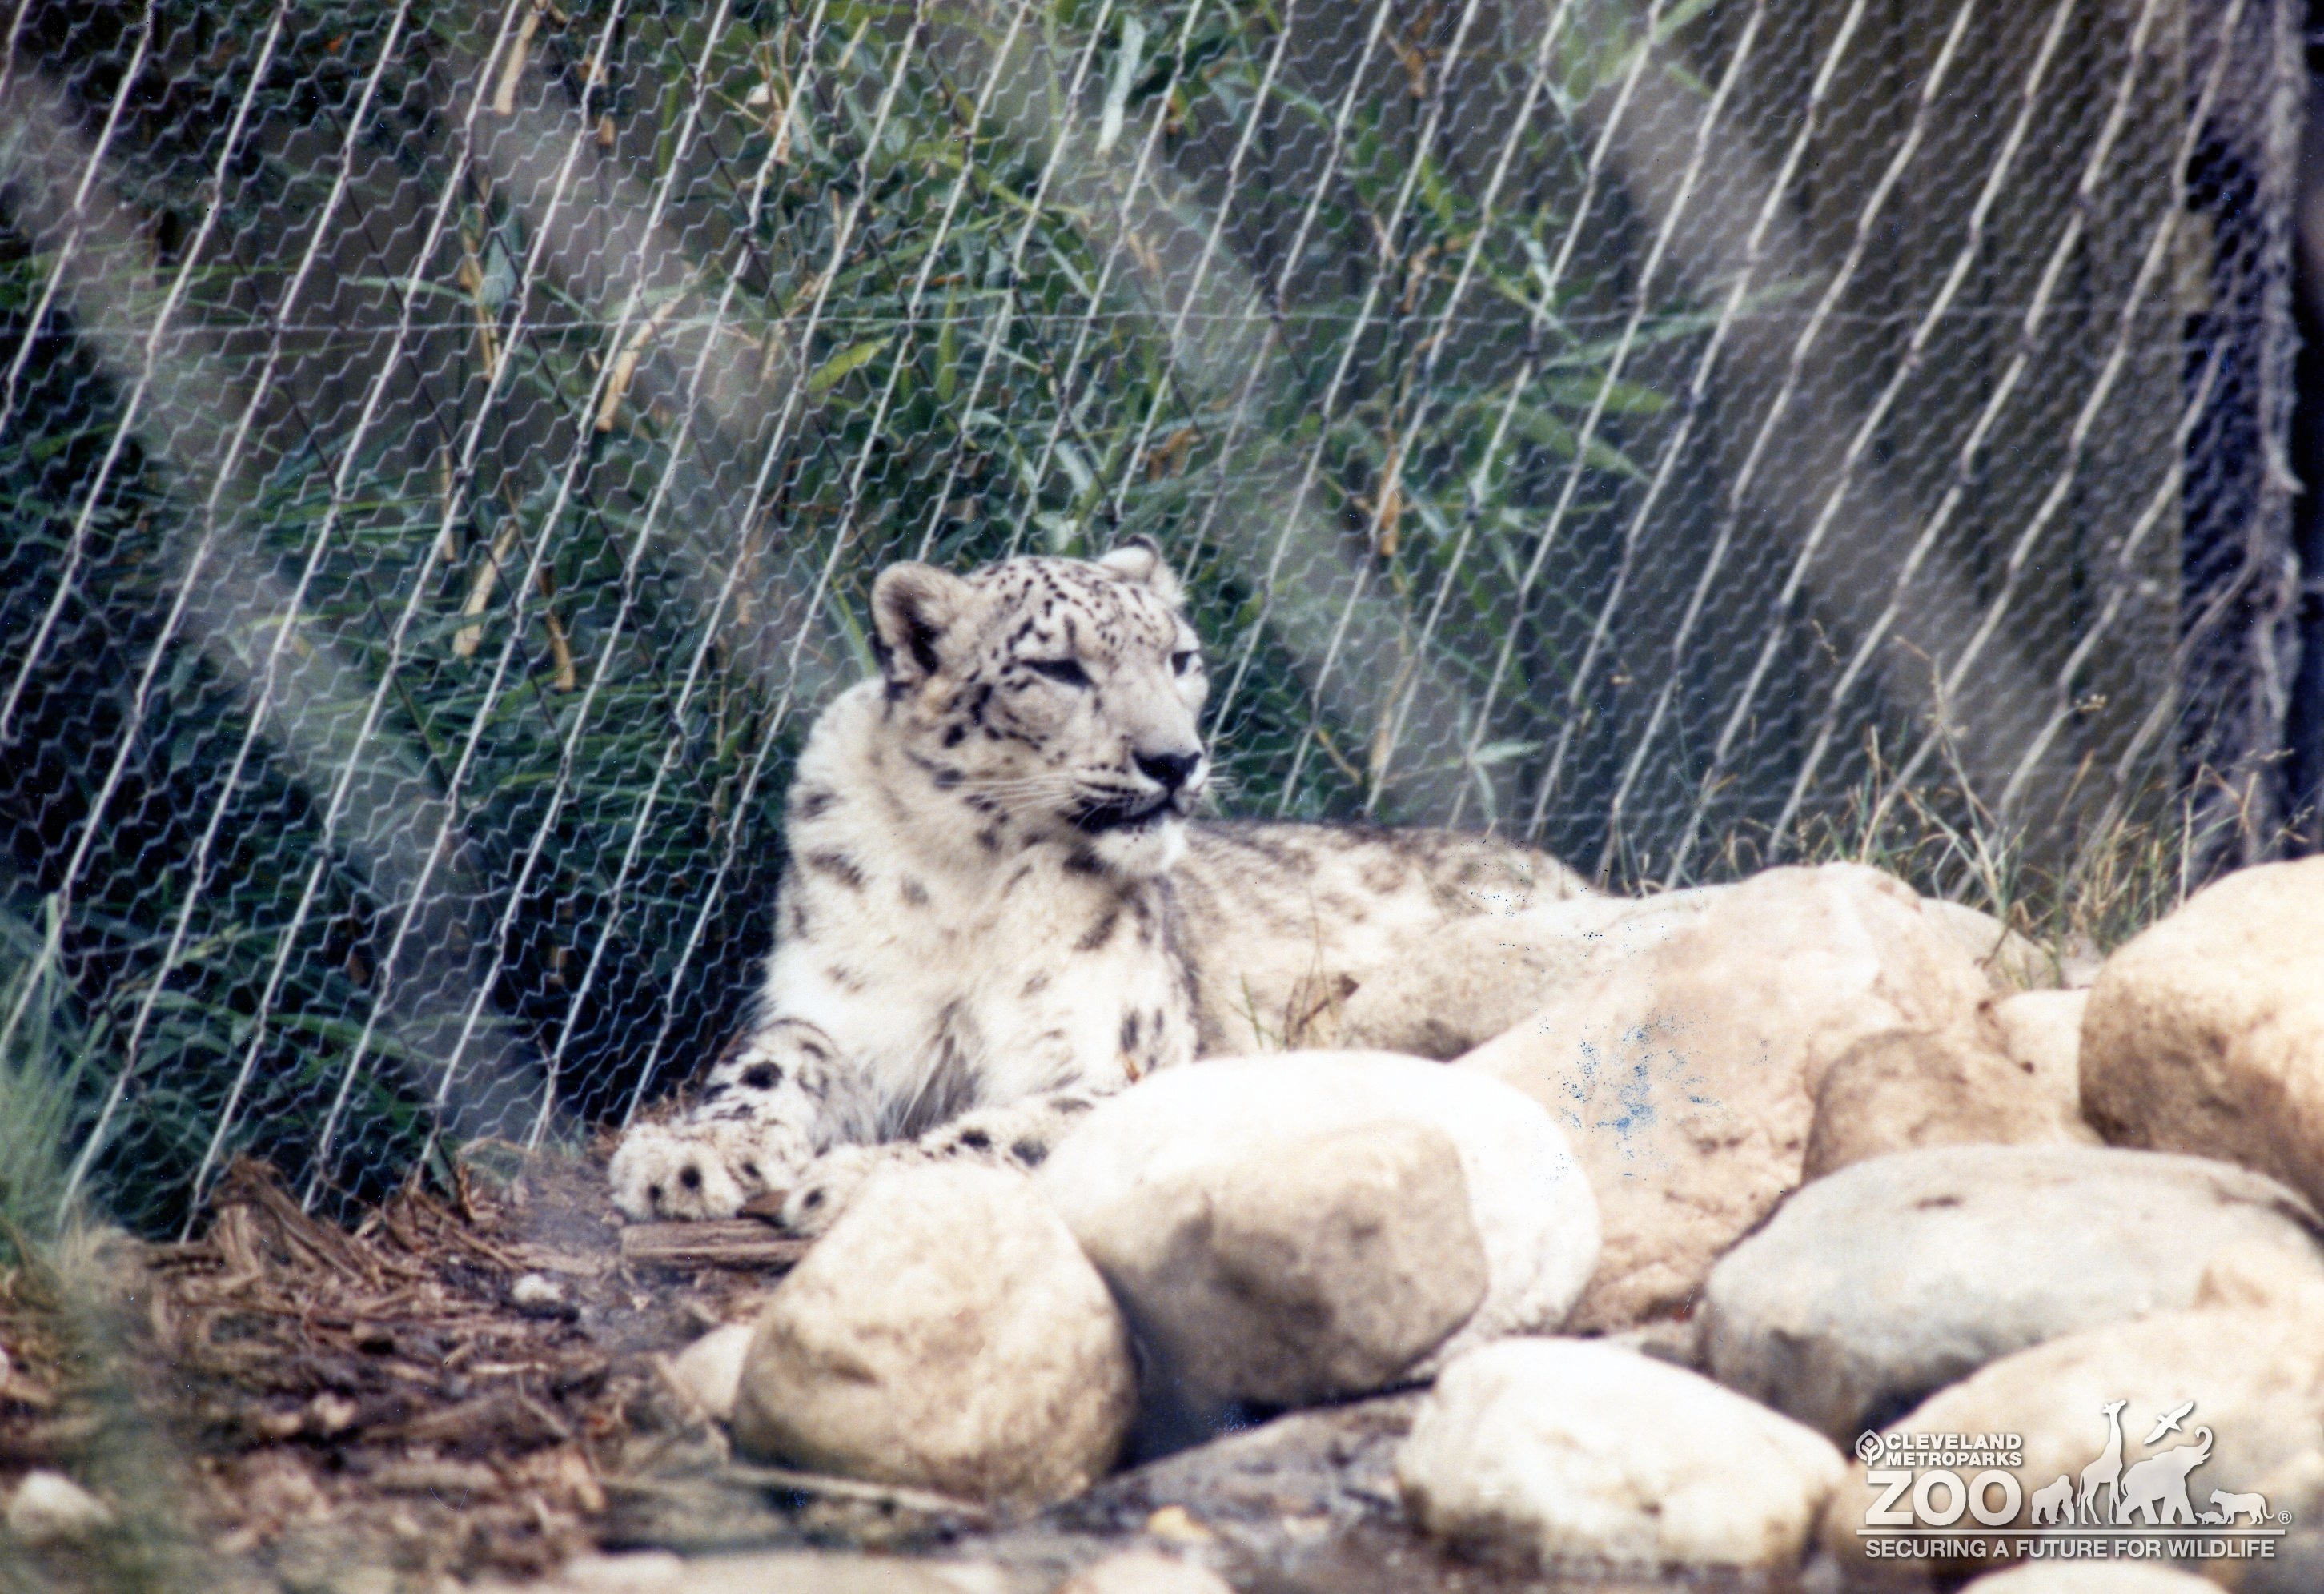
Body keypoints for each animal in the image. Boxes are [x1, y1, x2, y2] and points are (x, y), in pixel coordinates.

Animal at [608, 540, 1595, 1231]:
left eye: (1180, 658)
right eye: (1057, 669)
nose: (1175, 759)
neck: (969, 888)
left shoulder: (1119, 1060)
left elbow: (1013, 1124)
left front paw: (857, 1180)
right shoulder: (840, 1012)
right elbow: (766, 1064)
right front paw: (684, 1156)